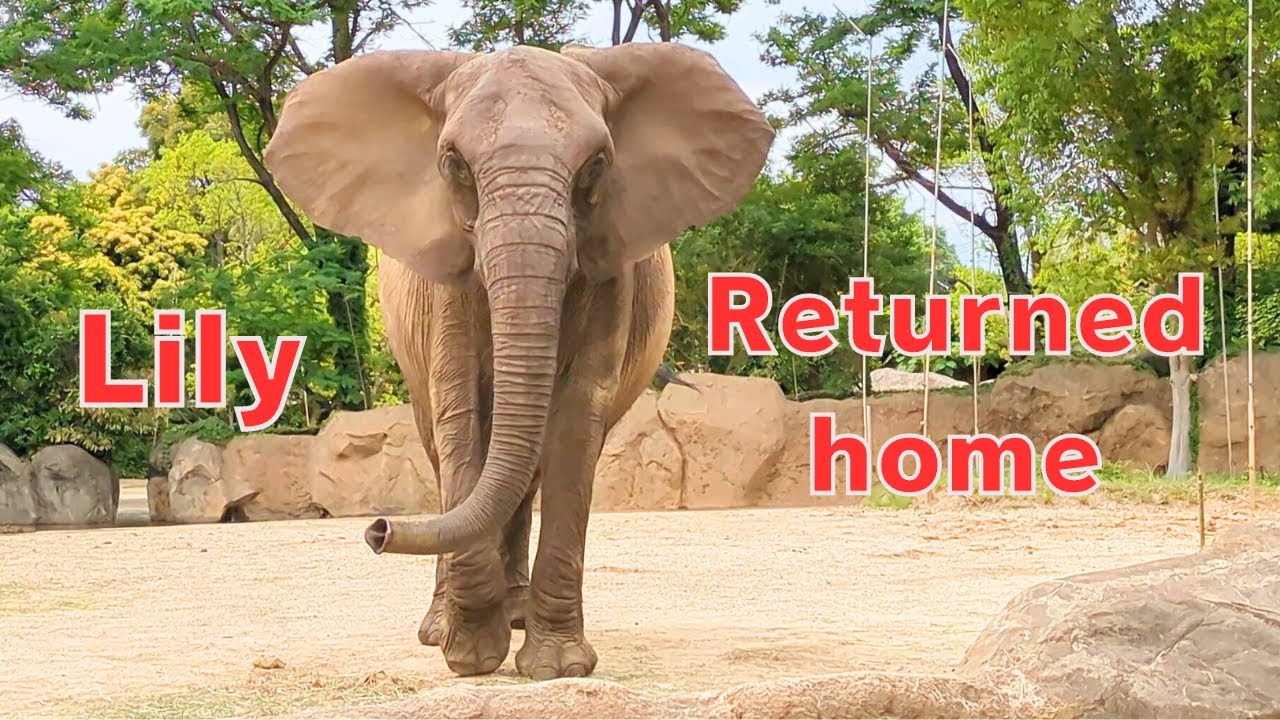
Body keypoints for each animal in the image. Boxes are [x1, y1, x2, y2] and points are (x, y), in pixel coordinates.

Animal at [263, 42, 774, 680]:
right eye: (454, 164)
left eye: (597, 165)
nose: (378, 531)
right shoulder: (449, 283)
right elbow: (460, 412)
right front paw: (471, 655)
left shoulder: (612, 271)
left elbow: (576, 420)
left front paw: (554, 667)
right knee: (445, 450)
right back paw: (446, 626)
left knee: (530, 474)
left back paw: (517, 615)